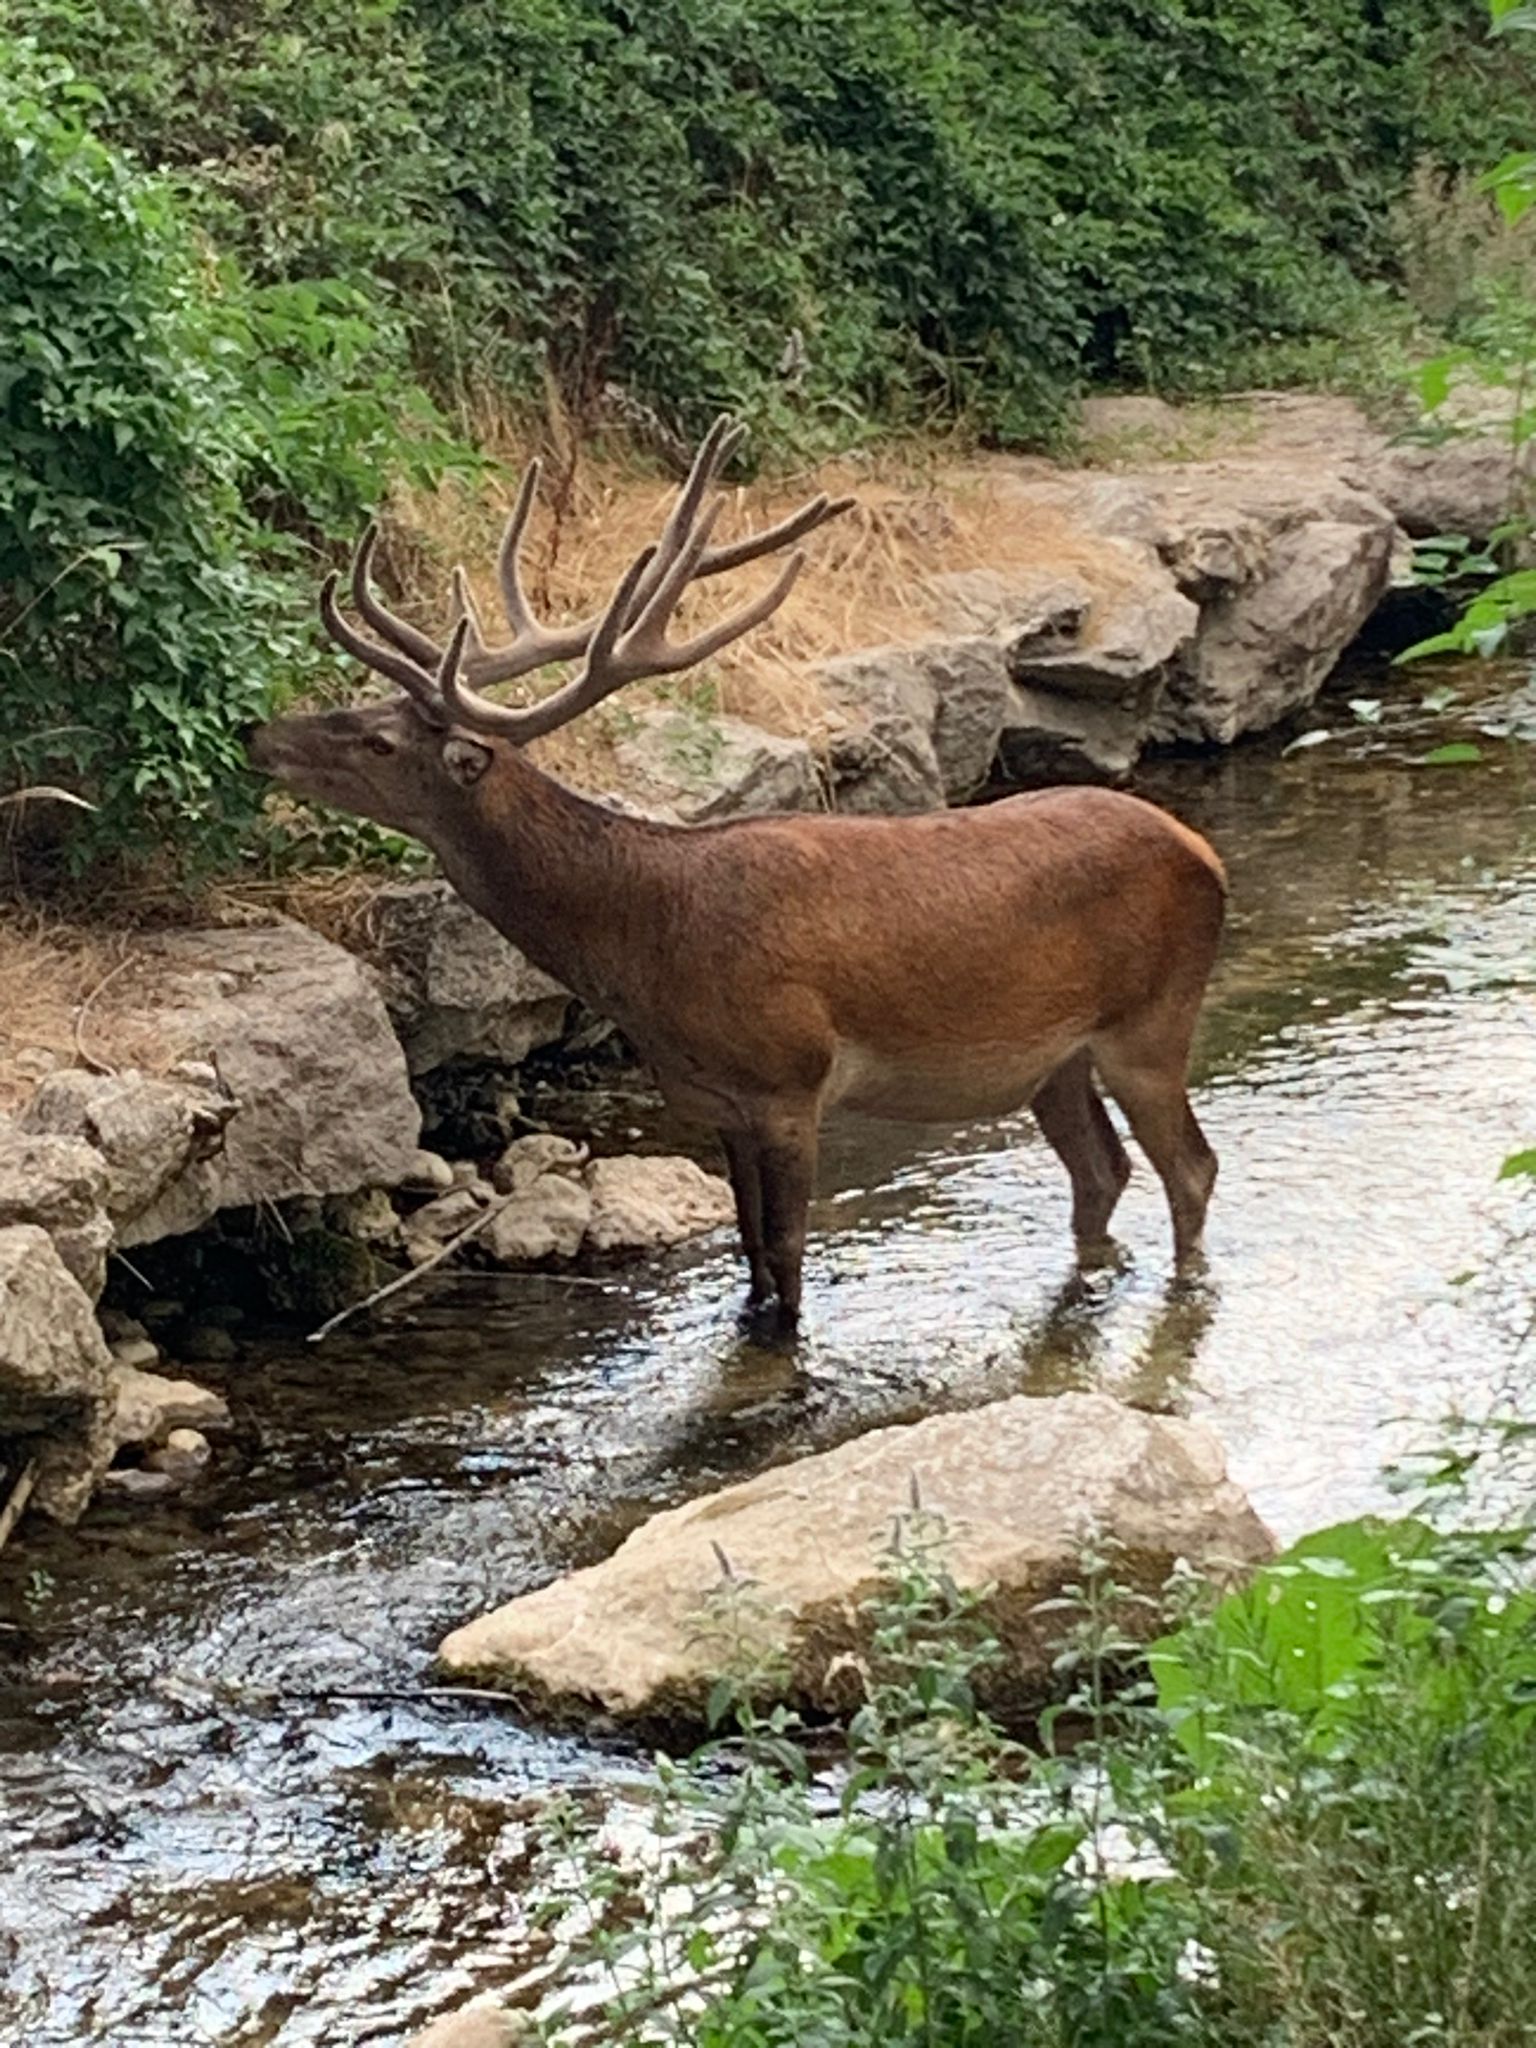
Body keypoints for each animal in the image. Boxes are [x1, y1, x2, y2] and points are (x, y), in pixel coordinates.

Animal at [249, 423, 1228, 1335]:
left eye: (377, 741)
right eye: (363, 708)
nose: (260, 732)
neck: (647, 948)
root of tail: (1208, 856)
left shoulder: (790, 1079)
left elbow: (789, 1253)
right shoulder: (715, 1101)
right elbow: (749, 1247)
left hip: (1152, 1019)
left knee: (1190, 1164)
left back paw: (1185, 1289)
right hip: (1053, 1061)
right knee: (1103, 1169)